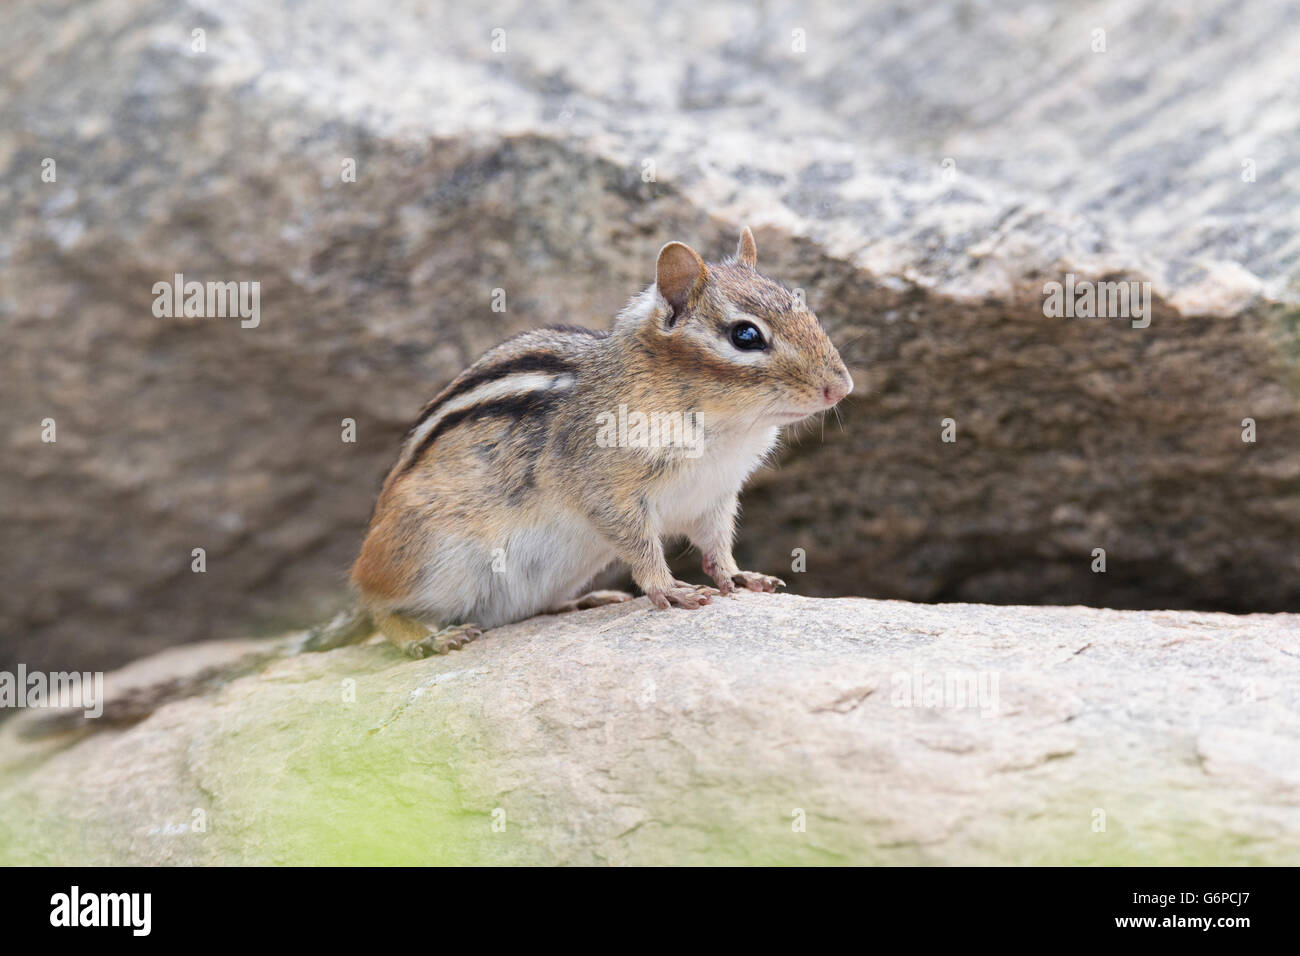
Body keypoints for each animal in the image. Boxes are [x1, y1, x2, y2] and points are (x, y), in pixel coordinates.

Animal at [306, 227, 853, 658]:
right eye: (745, 336)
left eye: (804, 308)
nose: (842, 387)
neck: (725, 429)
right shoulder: (607, 488)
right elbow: (641, 546)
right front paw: (670, 589)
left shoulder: (715, 496)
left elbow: (718, 546)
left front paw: (740, 578)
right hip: (430, 557)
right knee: (378, 608)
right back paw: (427, 636)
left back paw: (586, 600)